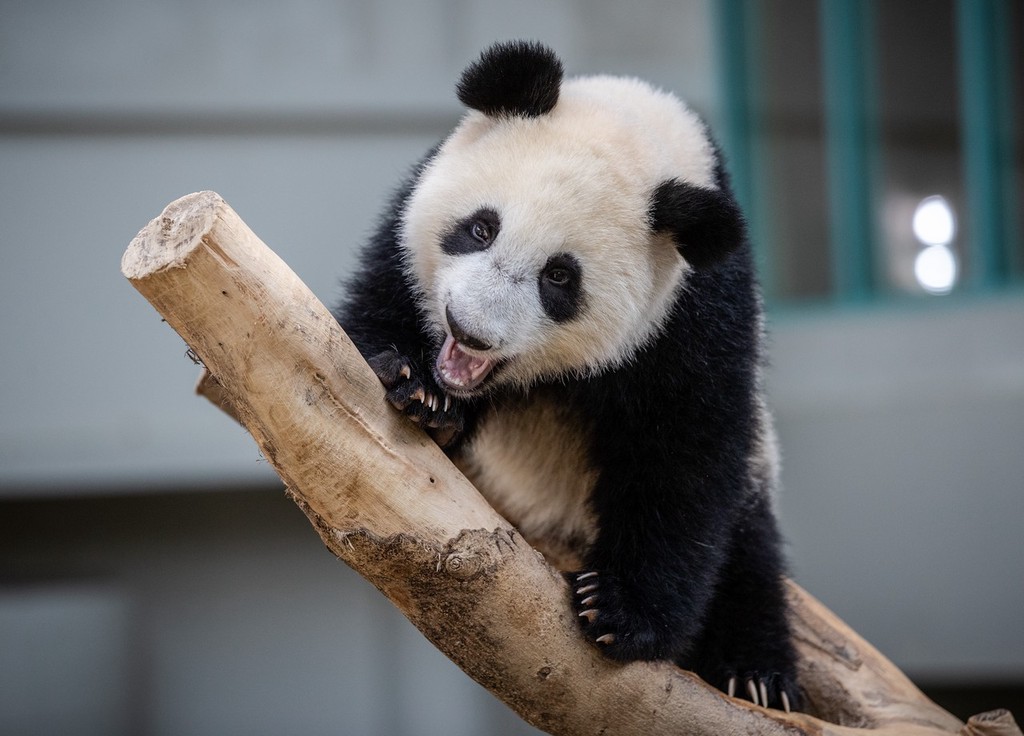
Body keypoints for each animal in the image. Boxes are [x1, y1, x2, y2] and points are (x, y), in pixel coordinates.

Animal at [335, 41, 798, 712]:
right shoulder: (405, 229)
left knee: (748, 542)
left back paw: (757, 673)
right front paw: (419, 388)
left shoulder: (697, 313)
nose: (469, 330)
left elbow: (685, 459)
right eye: (481, 228)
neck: (641, 120)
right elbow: (377, 309)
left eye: (559, 277)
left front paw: (620, 613)